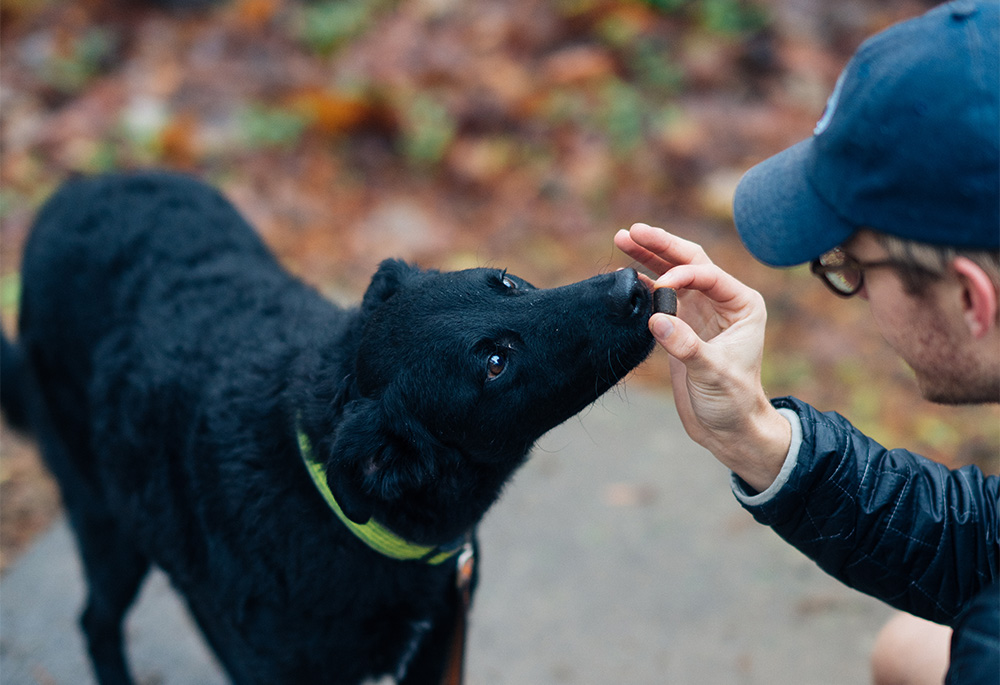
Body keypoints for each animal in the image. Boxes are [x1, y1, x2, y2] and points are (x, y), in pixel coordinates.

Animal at [0, 172, 656, 684]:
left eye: (508, 282)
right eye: (495, 363)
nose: (633, 287)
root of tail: (72, 191)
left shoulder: (434, 648)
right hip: (104, 524)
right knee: (96, 622)